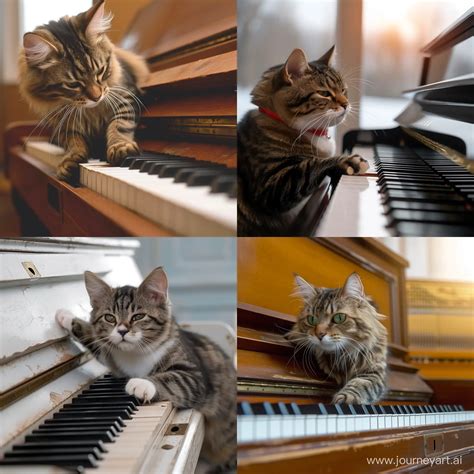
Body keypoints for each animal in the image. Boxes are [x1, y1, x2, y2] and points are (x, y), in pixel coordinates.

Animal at [18, 0, 148, 182]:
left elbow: (120, 123)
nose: (97, 97)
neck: (91, 112)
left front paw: (120, 146)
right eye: (73, 84)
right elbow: (74, 141)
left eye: (101, 71)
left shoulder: (126, 94)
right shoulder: (62, 123)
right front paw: (70, 161)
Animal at [56, 266, 237, 470]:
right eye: (110, 318)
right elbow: (96, 339)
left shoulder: (195, 377)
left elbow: (173, 378)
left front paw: (142, 384)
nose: (122, 331)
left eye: (138, 316)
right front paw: (67, 317)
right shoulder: (114, 359)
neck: (136, 353)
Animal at [239, 46, 368, 235]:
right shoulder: (269, 187)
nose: (346, 104)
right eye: (324, 93)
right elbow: (310, 165)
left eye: (344, 90)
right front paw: (345, 161)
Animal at [286, 270, 386, 404]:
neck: (344, 354)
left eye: (339, 318)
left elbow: (360, 384)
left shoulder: (374, 370)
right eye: (311, 320)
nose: (319, 334)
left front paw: (347, 399)